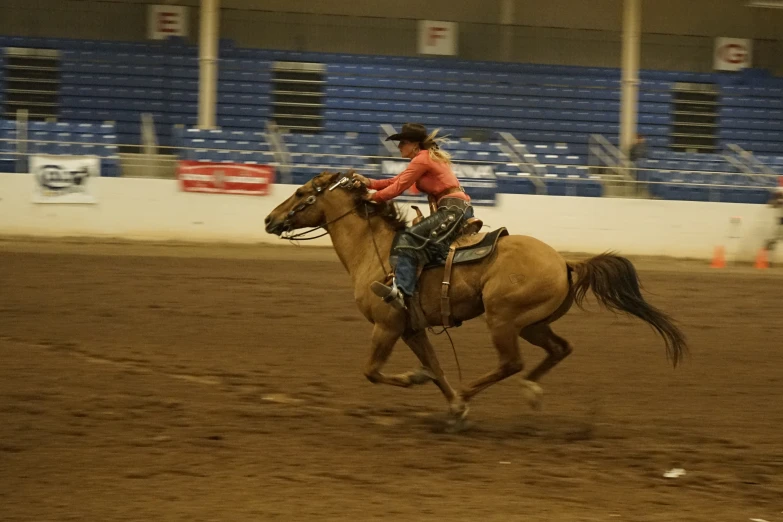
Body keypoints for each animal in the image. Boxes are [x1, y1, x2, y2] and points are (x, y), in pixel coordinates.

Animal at [264, 173, 688, 428]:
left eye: (301, 193)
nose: (269, 220)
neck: (377, 250)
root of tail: (564, 261)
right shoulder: (412, 329)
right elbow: (436, 367)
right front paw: (453, 406)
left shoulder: (387, 325)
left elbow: (373, 371)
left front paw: (425, 384)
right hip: (533, 323)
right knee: (559, 348)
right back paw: (530, 392)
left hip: (502, 320)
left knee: (512, 362)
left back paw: (488, 389)